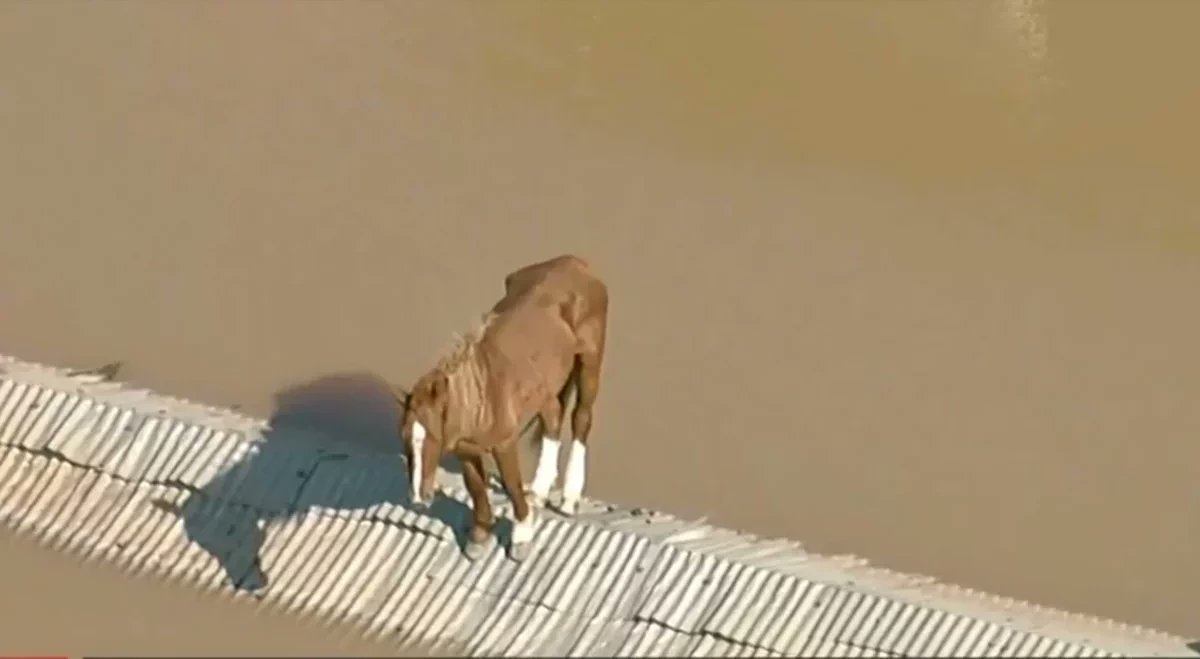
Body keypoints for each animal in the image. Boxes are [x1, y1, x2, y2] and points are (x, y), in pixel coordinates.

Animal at [394, 254, 608, 561]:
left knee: (581, 418)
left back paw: (568, 498)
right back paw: (540, 490)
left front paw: (521, 537)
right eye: (404, 438)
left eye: (432, 436)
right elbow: (475, 487)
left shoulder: (504, 443)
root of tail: (576, 263)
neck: (481, 391)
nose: (417, 498)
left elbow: (510, 484)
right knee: (553, 420)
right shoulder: (466, 449)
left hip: (590, 360)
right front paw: (480, 537)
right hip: (546, 389)